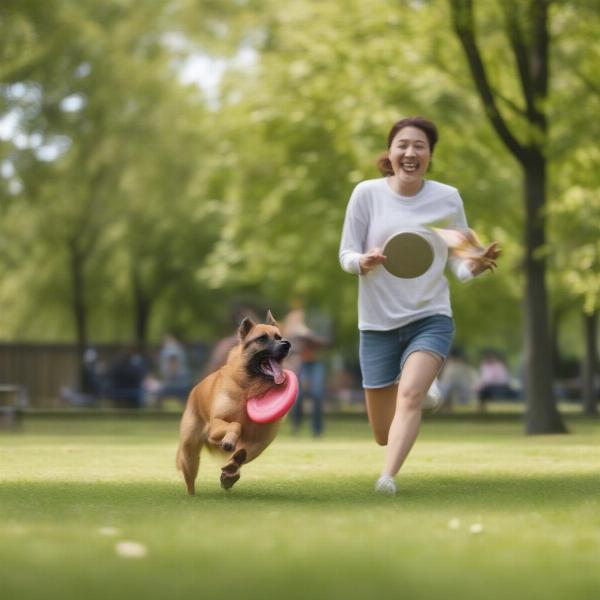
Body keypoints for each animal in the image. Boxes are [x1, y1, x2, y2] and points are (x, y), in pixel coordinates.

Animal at [176, 312, 290, 494]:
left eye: (279, 337)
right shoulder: (215, 426)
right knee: (190, 481)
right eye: (262, 339)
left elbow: (248, 452)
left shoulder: (262, 439)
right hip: (190, 451)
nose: (287, 344)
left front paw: (231, 469)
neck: (248, 390)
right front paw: (230, 443)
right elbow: (236, 425)